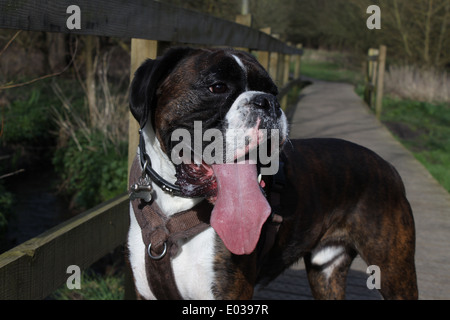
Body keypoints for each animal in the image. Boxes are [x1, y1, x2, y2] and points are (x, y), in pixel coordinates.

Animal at [127, 47, 418, 300]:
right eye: (217, 87)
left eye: (273, 91)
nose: (268, 102)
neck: (173, 212)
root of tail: (389, 168)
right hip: (326, 272)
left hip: (395, 272)